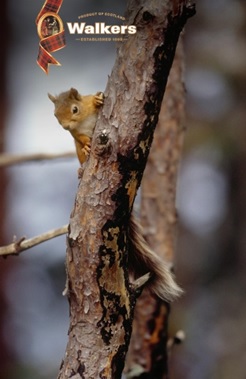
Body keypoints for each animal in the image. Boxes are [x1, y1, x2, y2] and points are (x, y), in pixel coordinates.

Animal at [48, 87, 183, 302]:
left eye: (74, 109)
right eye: (55, 115)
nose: (65, 125)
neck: (81, 121)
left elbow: (93, 100)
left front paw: (97, 99)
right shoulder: (76, 134)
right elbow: (80, 138)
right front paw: (86, 144)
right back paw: (81, 169)